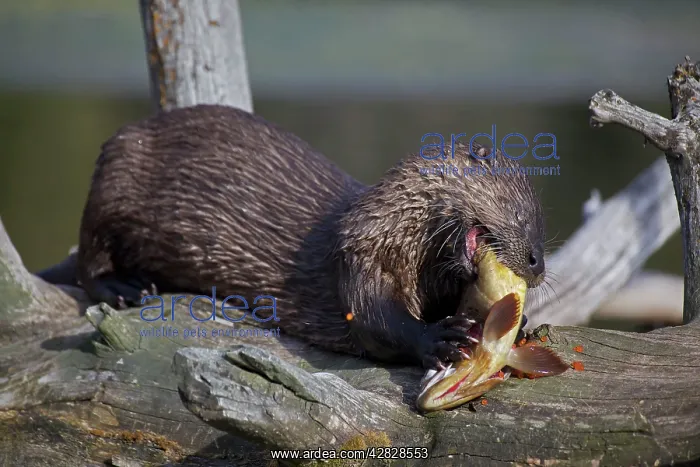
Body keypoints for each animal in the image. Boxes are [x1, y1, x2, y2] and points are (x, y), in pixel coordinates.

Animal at [39, 104, 546, 370]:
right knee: (88, 259)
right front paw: (440, 337)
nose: (538, 264)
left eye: (542, 224)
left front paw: (524, 322)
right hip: (114, 179)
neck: (392, 226)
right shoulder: (360, 253)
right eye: (523, 219)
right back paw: (124, 288)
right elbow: (375, 321)